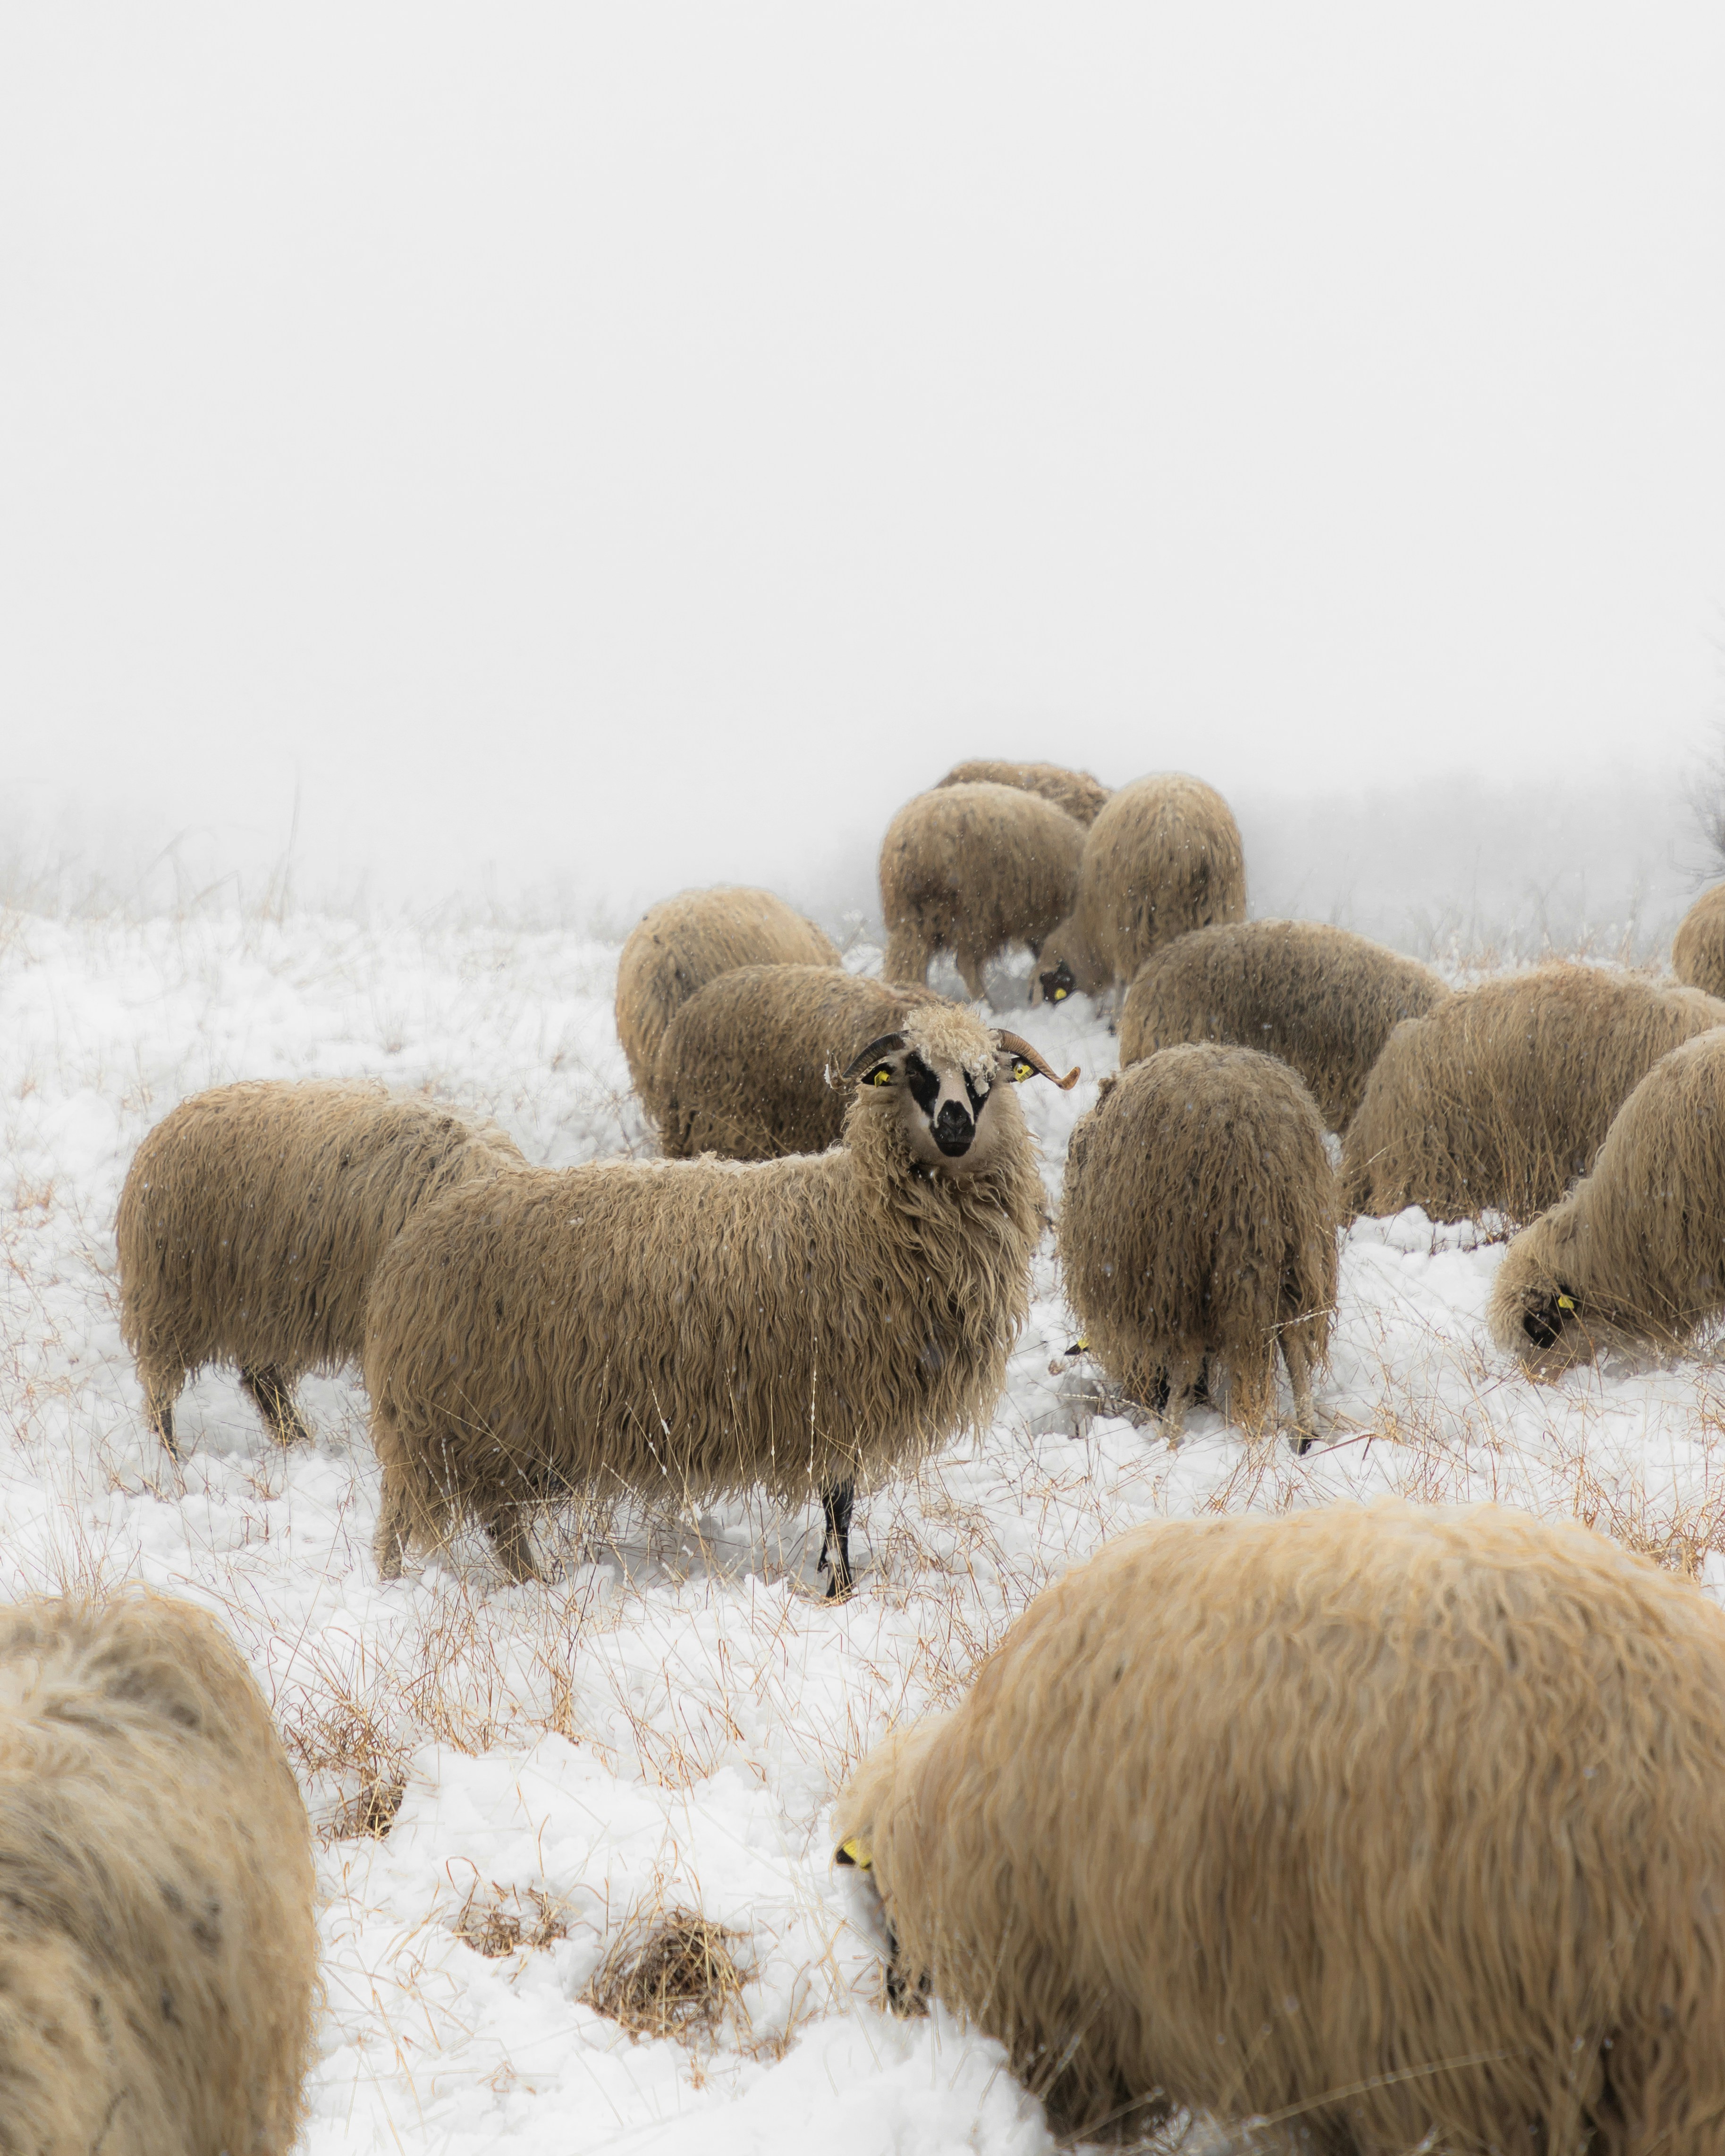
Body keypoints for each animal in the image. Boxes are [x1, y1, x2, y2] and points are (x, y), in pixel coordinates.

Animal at [117, 1079, 524, 1456]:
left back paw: (295, 1441)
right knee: (163, 1385)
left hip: (261, 1303)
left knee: (259, 1377)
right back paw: (172, 1455)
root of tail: (171, 1123)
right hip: (176, 1295)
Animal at [366, 1005, 1079, 1594]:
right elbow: (841, 1504)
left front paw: (830, 1574)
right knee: (421, 1516)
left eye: (988, 1077)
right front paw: (840, 1589)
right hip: (463, 1415)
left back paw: (523, 1582)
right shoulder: (836, 1390)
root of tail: (415, 1242)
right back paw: (403, 1585)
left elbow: (837, 1504)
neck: (864, 1213)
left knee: (493, 1518)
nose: (956, 1121)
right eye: (917, 1073)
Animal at [878, 782, 1086, 999]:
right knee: (964, 963)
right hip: (976, 911)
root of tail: (917, 843)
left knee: (906, 962)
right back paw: (986, 1002)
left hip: (911, 917)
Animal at [1033, 773, 1246, 1007]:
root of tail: (1180, 834)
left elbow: (1120, 982)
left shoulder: (1114, 935)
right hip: (1217, 909)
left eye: (1046, 987)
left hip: (1135, 921)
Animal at [1056, 1044, 1336, 1445]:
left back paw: (1170, 1437)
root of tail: (1247, 1129)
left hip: (1179, 1263)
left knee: (1188, 1357)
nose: (1148, 1396)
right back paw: (1306, 1432)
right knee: (1294, 1340)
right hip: (1298, 1247)